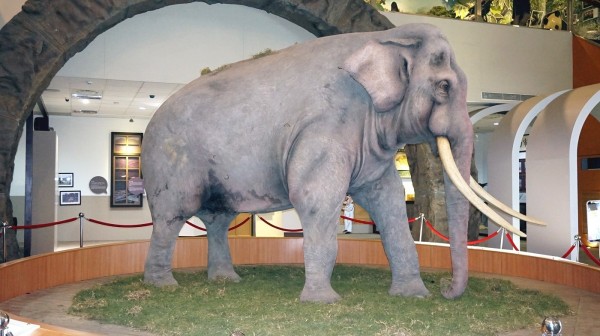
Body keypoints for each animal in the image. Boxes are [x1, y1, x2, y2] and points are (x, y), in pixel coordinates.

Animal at [143, 23, 540, 302]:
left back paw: (226, 279)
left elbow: (389, 201)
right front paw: (323, 302)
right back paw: (164, 286)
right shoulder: (327, 126)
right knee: (171, 216)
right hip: (169, 158)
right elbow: (316, 200)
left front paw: (414, 295)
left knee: (217, 219)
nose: (443, 286)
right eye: (443, 87)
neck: (384, 36)